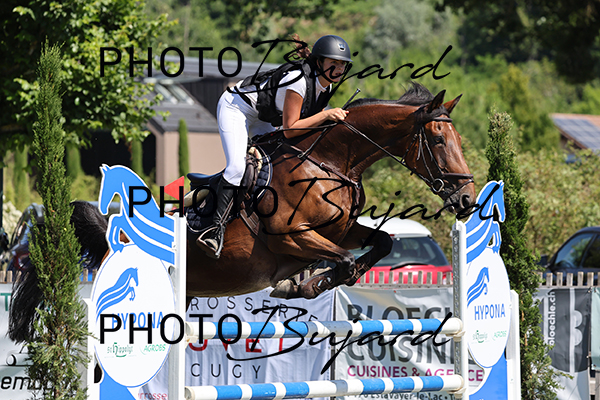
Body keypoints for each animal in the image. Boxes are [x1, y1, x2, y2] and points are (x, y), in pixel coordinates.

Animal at [9, 83, 476, 342]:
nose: (468, 200)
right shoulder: (293, 235)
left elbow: (381, 242)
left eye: (456, 139)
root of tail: (113, 234)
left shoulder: (341, 230)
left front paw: (311, 284)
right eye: (438, 140)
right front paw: (305, 285)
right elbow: (342, 261)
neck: (329, 161)